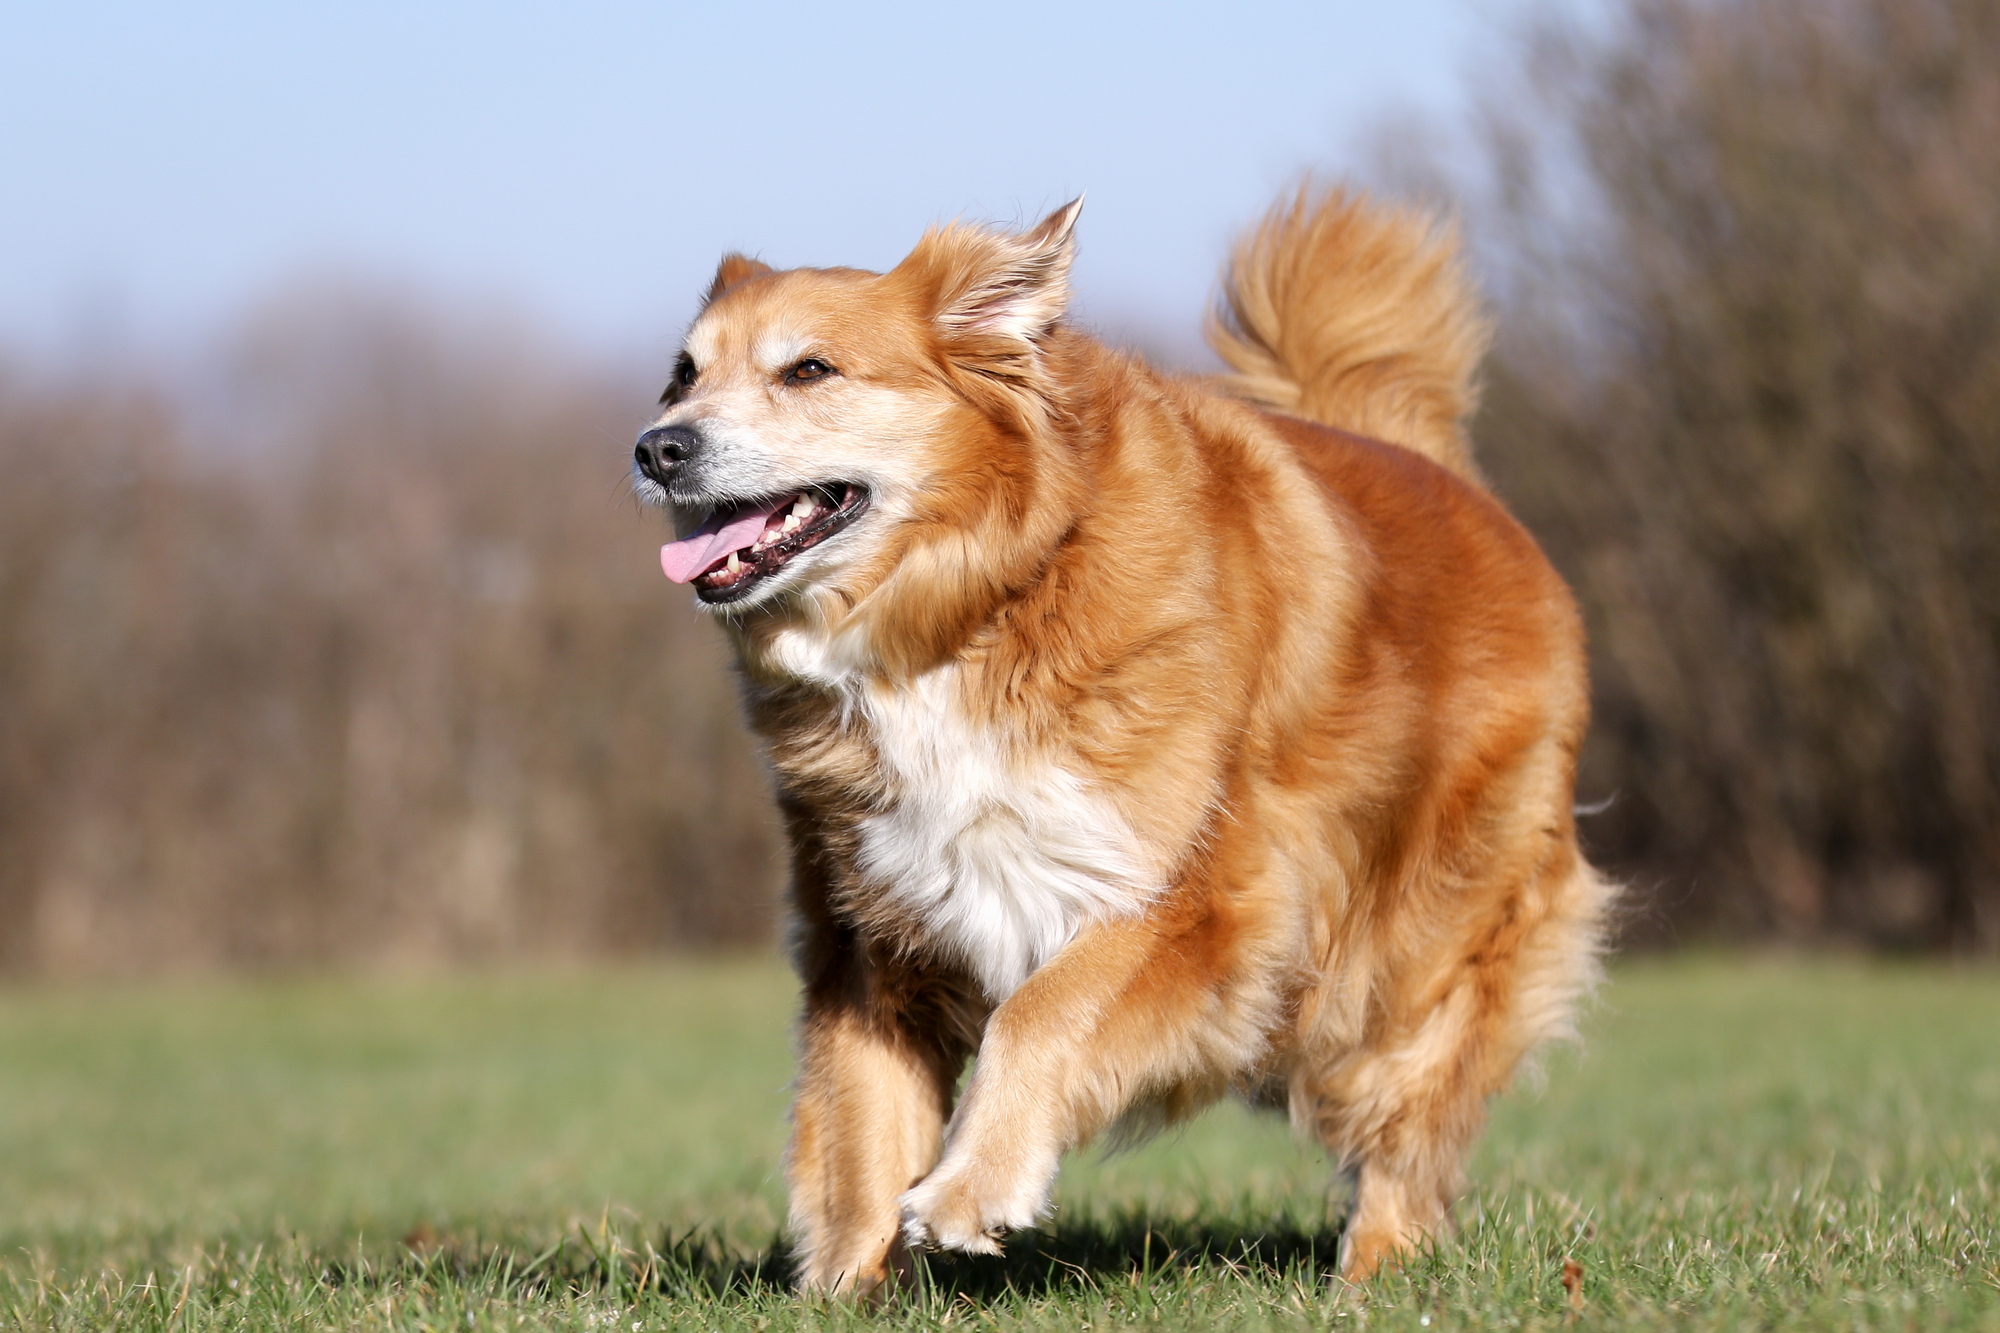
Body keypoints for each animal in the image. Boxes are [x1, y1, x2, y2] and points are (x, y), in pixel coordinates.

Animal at [632, 184, 1616, 1288]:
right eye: (682, 373)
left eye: (808, 369)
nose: (657, 447)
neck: (976, 605)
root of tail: (1449, 480)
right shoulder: (869, 931)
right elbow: (861, 1127)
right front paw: (846, 1285)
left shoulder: (1204, 906)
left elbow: (1041, 1012)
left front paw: (970, 1189)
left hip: (1424, 941)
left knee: (1409, 1108)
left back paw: (1373, 1274)